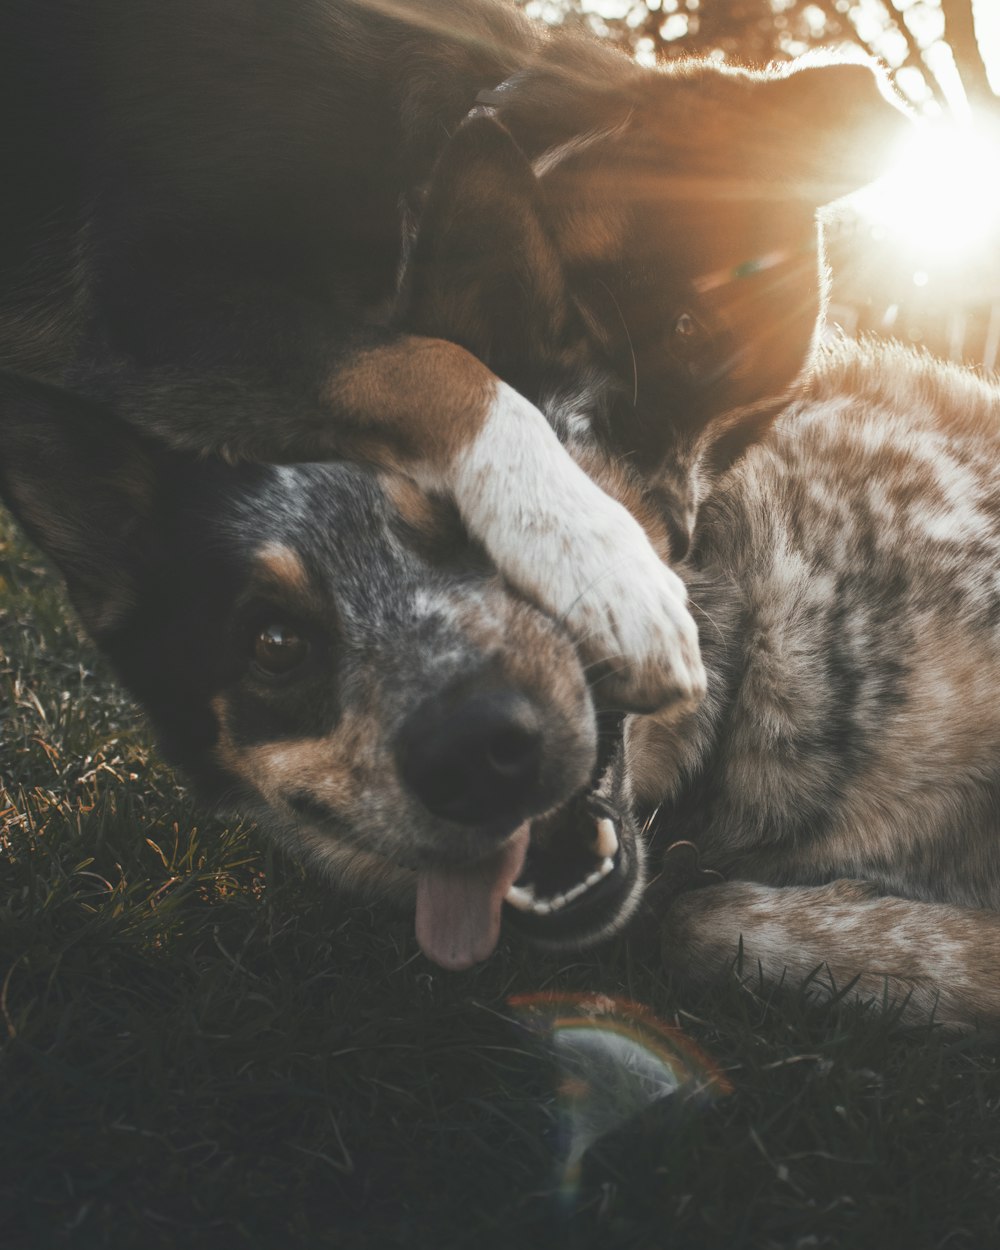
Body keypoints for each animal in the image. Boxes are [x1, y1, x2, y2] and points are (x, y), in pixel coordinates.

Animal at [0, 2, 905, 725]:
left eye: (738, 440)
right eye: (687, 326)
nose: (677, 540)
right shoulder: (154, 294)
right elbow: (444, 369)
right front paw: (598, 558)